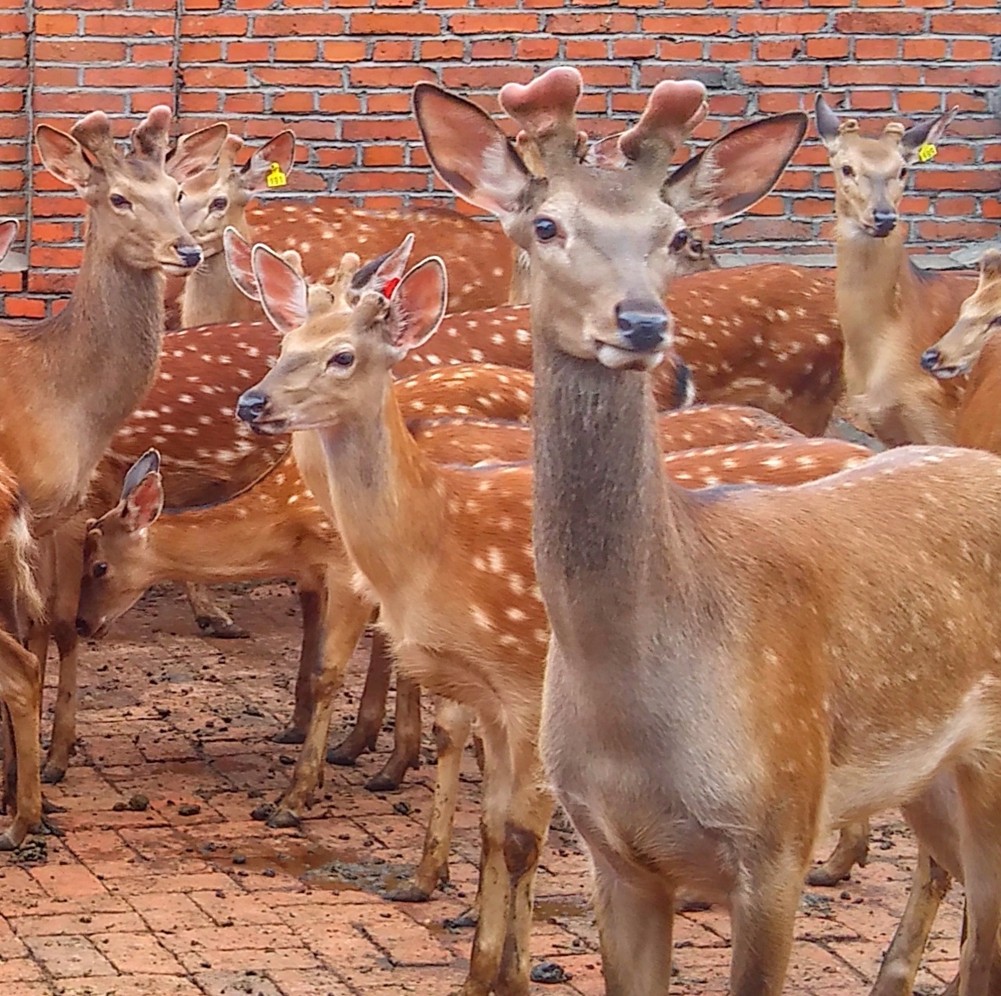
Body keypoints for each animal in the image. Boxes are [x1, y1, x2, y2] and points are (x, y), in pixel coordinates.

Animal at [0, 107, 227, 848]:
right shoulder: (42, 515)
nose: (186, 251)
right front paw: (38, 776)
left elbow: (49, 629)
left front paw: (39, 775)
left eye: (178, 192)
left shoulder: (55, 514)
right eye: (119, 198)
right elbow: (49, 629)